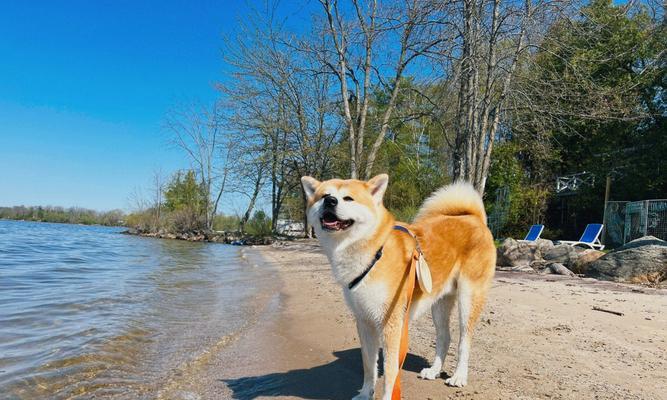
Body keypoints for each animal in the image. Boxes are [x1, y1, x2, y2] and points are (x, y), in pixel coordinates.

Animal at [302, 173, 496, 398]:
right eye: (324, 196)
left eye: (348, 198)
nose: (330, 201)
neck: (374, 252)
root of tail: (474, 218)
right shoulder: (364, 322)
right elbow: (369, 365)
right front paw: (365, 393)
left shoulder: (391, 324)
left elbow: (390, 371)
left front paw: (387, 396)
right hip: (439, 303)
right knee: (444, 337)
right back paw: (434, 370)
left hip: (468, 299)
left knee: (464, 340)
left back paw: (459, 376)